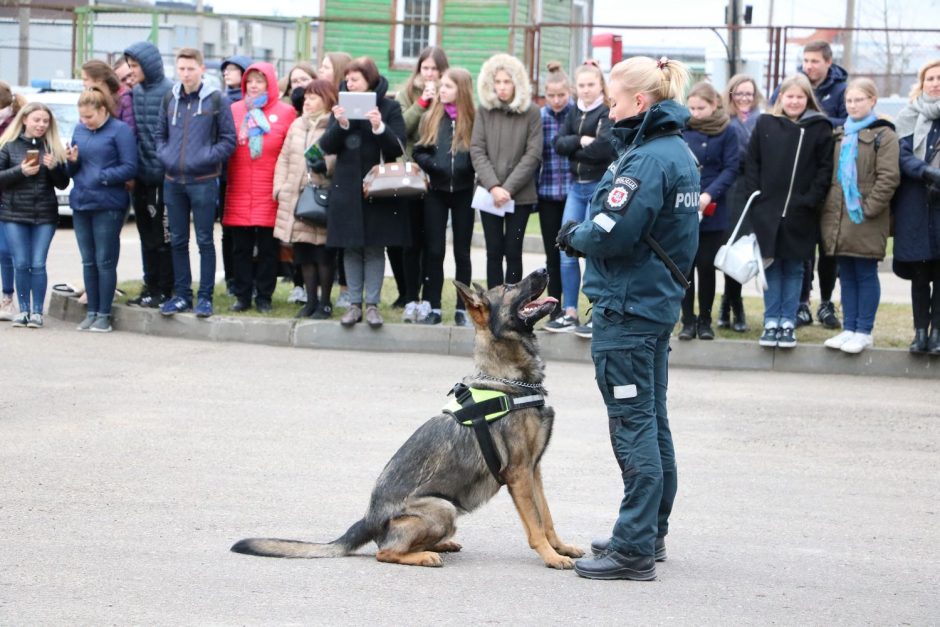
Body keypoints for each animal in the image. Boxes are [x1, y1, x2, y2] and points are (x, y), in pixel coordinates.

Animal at [231, 270, 584, 568]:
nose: (544, 270)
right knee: (385, 552)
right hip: (442, 508)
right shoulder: (519, 473)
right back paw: (425, 555)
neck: (509, 380)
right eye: (510, 286)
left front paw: (560, 547)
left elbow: (547, 516)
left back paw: (439, 545)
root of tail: (368, 520)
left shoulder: (534, 470)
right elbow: (535, 524)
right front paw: (550, 556)